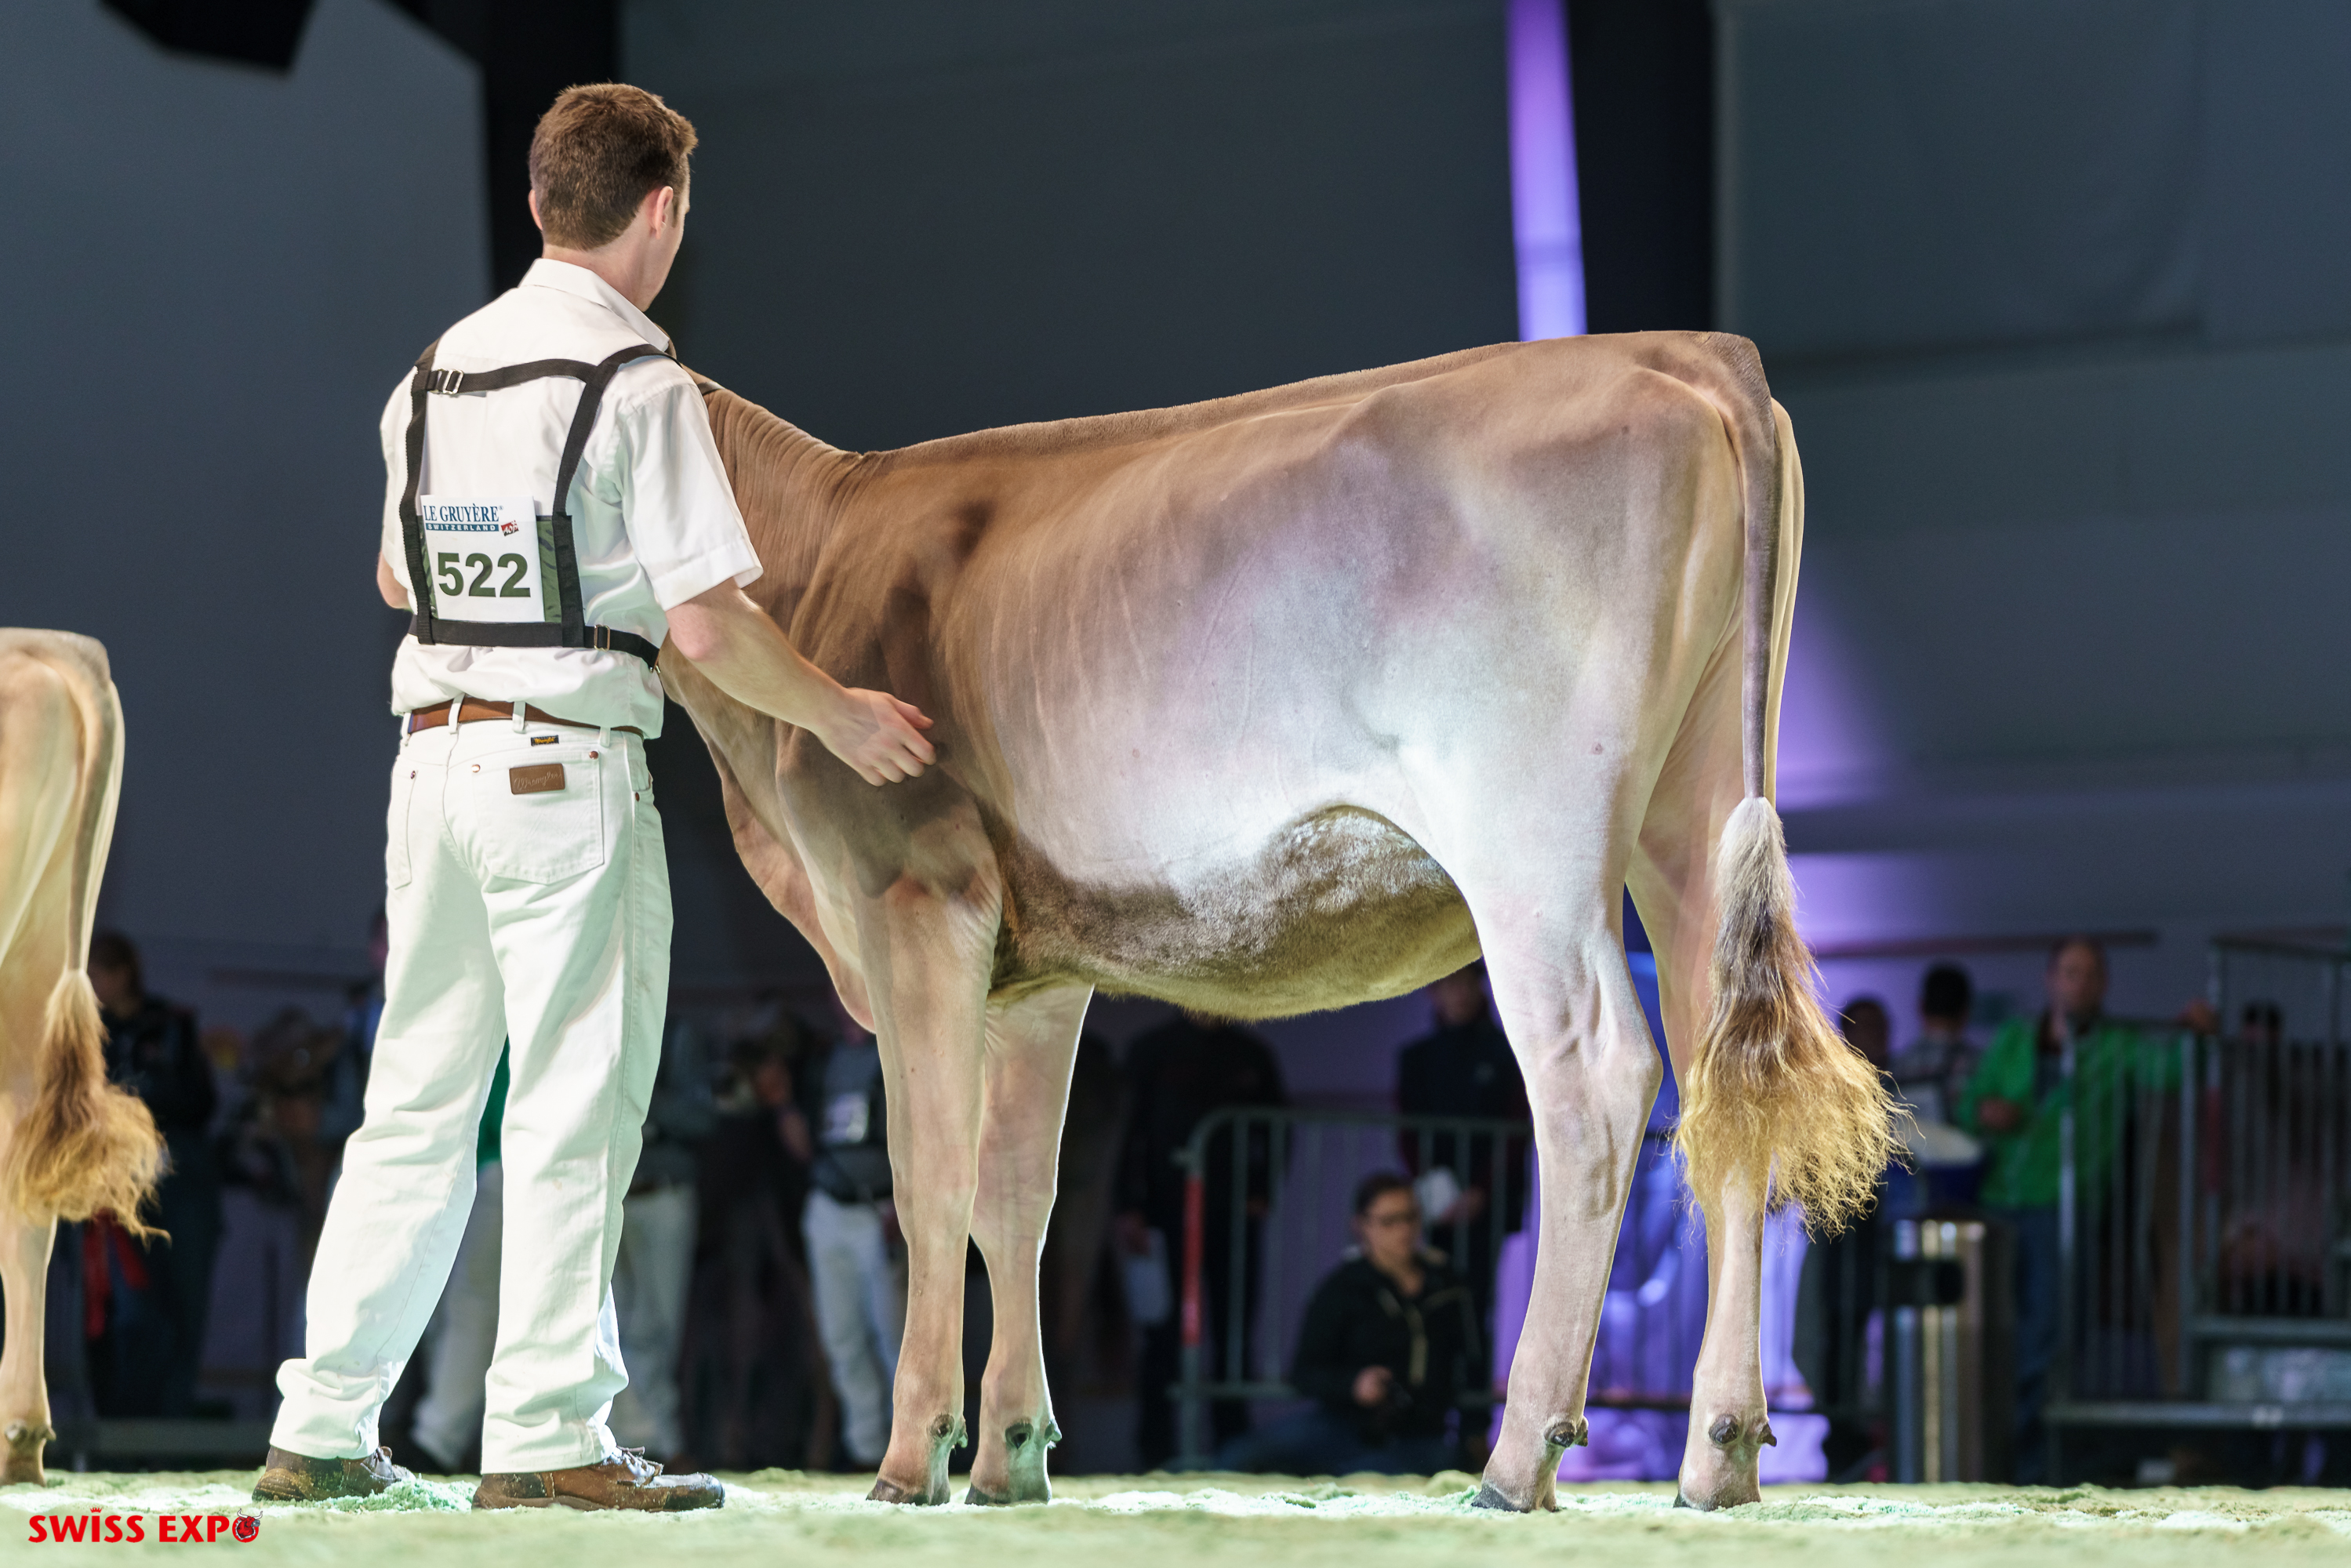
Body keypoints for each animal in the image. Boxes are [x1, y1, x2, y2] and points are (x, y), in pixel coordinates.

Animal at [658, 331, 1894, 1511]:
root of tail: (1690, 348)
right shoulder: (1036, 972)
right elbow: (1015, 1197)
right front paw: (1009, 1456)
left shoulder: (912, 894)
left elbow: (928, 1185)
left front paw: (914, 1455)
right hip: (1691, 823)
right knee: (1724, 1082)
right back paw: (1718, 1456)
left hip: (1530, 850)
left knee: (1595, 1084)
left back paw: (1515, 1459)